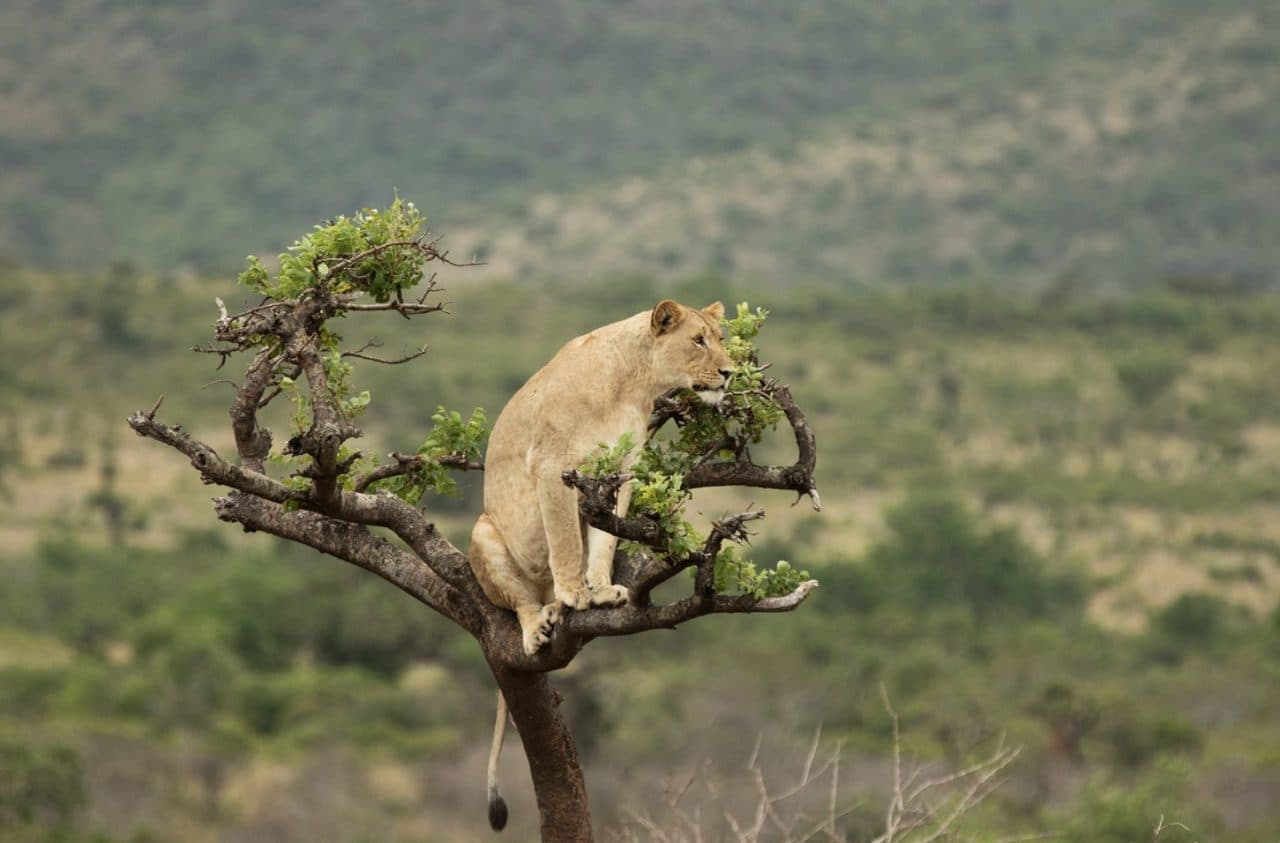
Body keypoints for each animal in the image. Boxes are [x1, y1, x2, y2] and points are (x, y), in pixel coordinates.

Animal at [469, 299, 734, 830]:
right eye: (698, 341)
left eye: (718, 338)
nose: (729, 372)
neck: (634, 383)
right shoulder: (553, 467)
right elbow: (566, 541)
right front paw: (576, 594)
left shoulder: (621, 469)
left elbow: (606, 540)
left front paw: (601, 589)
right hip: (482, 531)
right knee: (522, 601)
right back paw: (543, 619)